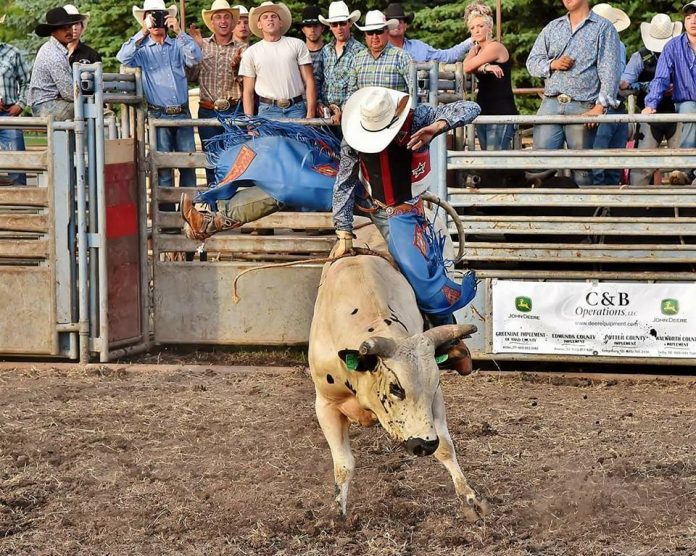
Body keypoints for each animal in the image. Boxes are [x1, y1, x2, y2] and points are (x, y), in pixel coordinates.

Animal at [308, 228, 489, 523]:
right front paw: (339, 514)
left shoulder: (435, 401)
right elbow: (343, 465)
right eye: (396, 387)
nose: (424, 445)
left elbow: (446, 447)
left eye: (434, 383)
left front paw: (471, 499)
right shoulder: (325, 405)